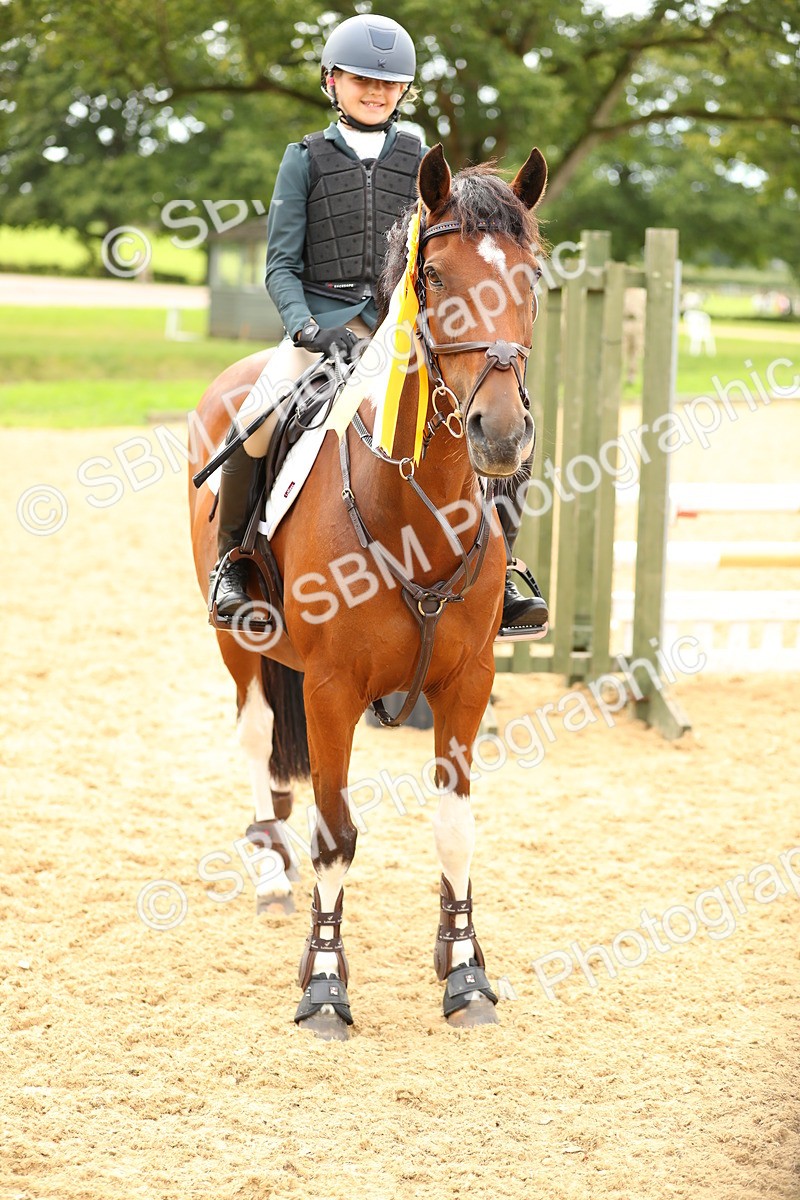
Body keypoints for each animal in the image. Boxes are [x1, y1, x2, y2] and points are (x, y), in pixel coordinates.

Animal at [188, 143, 547, 1039]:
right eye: (437, 277)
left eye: (530, 276)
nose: (500, 434)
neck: (415, 513)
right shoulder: (330, 687)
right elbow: (336, 837)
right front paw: (323, 983)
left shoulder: (468, 683)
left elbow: (455, 829)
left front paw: (464, 972)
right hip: (237, 641)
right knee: (258, 740)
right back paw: (270, 874)